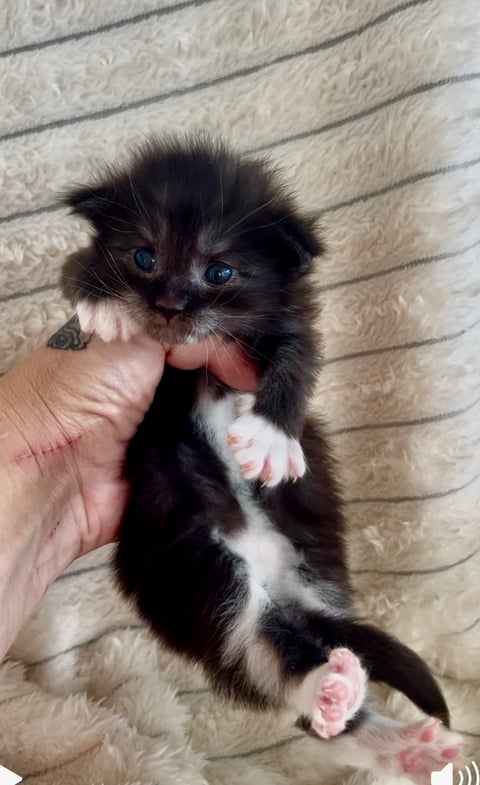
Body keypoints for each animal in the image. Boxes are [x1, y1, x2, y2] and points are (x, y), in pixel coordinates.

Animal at [60, 138, 462, 780]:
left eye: (219, 271)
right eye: (143, 257)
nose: (169, 306)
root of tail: (277, 582)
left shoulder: (294, 317)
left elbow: (299, 359)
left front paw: (273, 436)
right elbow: (71, 266)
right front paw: (102, 301)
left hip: (304, 567)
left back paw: (388, 736)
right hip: (199, 574)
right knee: (262, 655)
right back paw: (346, 706)